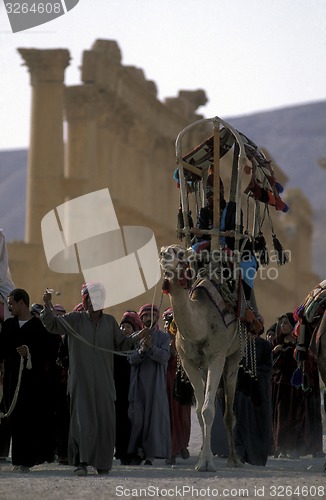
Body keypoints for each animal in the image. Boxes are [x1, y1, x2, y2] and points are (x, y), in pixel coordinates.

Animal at [159, 244, 243, 470]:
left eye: (179, 253)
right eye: (163, 250)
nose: (163, 256)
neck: (200, 326)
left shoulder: (217, 355)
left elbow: (208, 410)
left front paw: (208, 463)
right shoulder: (188, 362)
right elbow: (199, 411)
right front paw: (201, 461)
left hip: (234, 356)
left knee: (229, 412)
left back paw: (234, 459)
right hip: (204, 366)